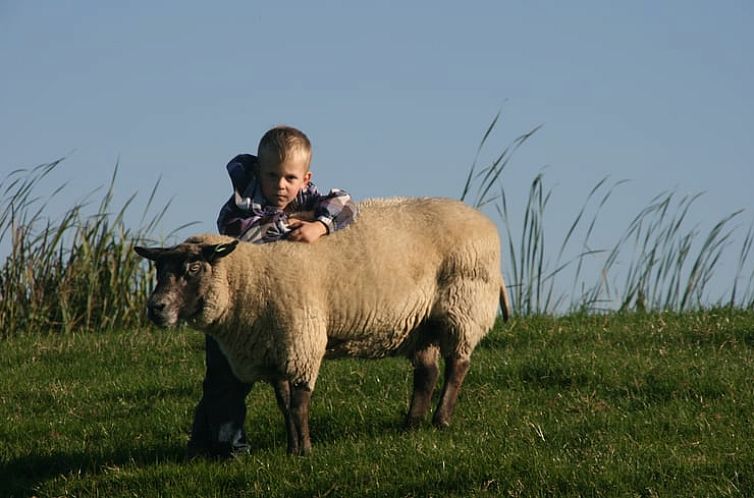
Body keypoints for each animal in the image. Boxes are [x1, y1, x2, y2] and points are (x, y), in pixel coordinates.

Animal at [135, 196, 512, 454]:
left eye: (194, 268)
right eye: (159, 270)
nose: (156, 308)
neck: (252, 277)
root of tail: (484, 220)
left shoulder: (302, 341)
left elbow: (299, 403)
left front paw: (304, 451)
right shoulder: (275, 350)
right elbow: (284, 404)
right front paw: (292, 448)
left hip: (463, 306)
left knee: (457, 365)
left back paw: (441, 420)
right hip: (422, 322)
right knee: (427, 373)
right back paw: (411, 425)